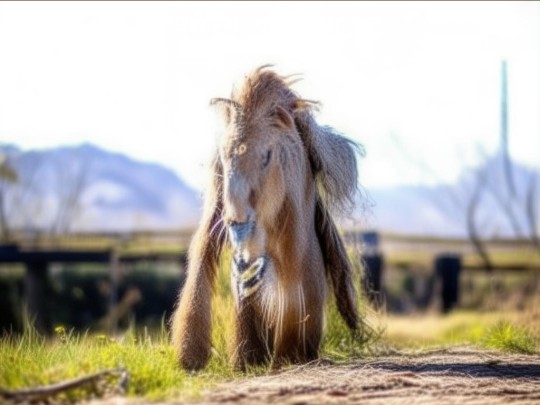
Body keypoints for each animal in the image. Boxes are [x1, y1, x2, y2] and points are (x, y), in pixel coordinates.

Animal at [171, 64, 360, 370]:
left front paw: (286, 355)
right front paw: (192, 357)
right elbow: (206, 253)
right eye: (223, 157)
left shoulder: (290, 219)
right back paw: (248, 359)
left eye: (268, 156)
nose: (238, 221)